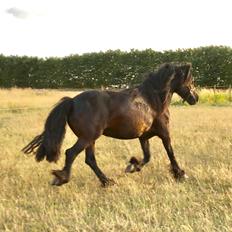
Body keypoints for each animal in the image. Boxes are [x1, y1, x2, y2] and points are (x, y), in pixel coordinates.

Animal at [22, 63, 198, 187]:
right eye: (191, 81)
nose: (195, 98)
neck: (152, 100)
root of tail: (72, 101)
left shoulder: (143, 137)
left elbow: (147, 156)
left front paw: (132, 166)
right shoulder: (164, 133)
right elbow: (171, 153)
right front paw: (180, 174)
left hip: (90, 139)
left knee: (90, 160)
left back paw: (107, 182)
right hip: (87, 137)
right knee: (70, 153)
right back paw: (62, 178)